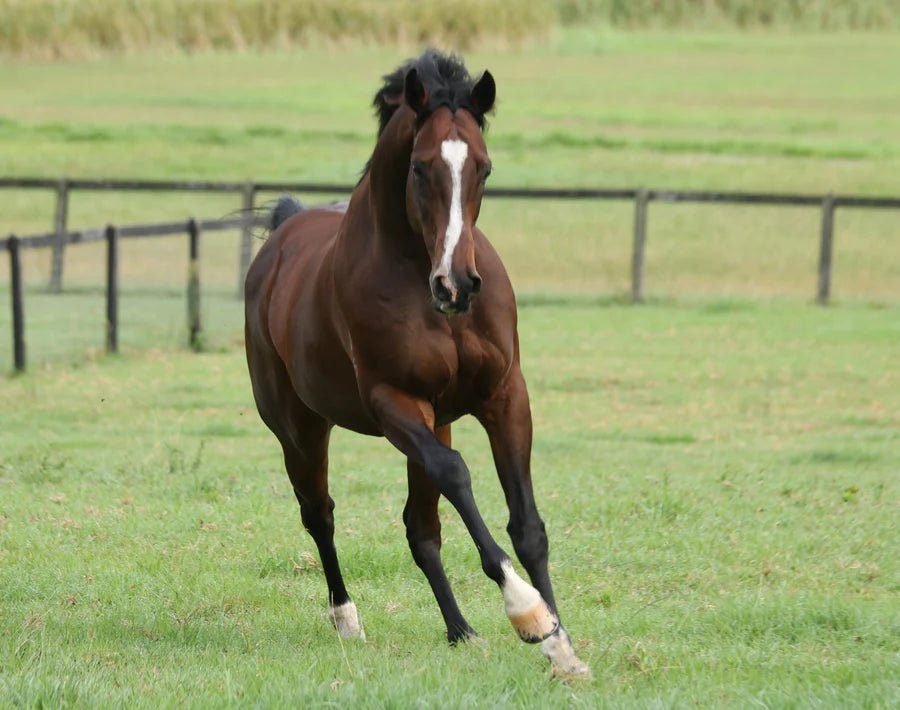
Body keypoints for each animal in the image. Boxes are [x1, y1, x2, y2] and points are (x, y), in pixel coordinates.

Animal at [244, 50, 589, 677]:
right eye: (421, 168)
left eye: (484, 167)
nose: (457, 285)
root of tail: (282, 233)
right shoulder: (393, 404)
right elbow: (456, 474)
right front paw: (528, 614)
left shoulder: (505, 395)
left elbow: (527, 526)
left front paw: (562, 646)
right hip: (300, 427)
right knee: (320, 513)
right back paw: (347, 619)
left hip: (438, 418)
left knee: (421, 528)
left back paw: (461, 631)